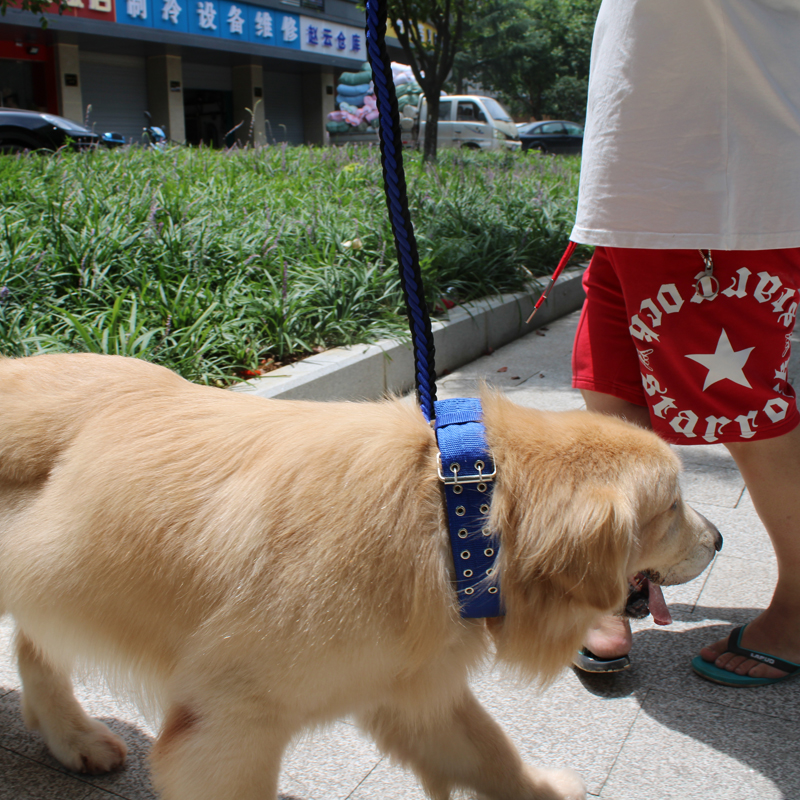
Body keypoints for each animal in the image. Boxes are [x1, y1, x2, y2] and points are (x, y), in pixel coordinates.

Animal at [0, 354, 720, 796]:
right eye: (672, 508)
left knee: (35, 647)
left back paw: (71, 736)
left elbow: (491, 751)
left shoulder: (408, 685)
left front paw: (543, 789)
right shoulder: (228, 724)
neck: (453, 514)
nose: (719, 540)